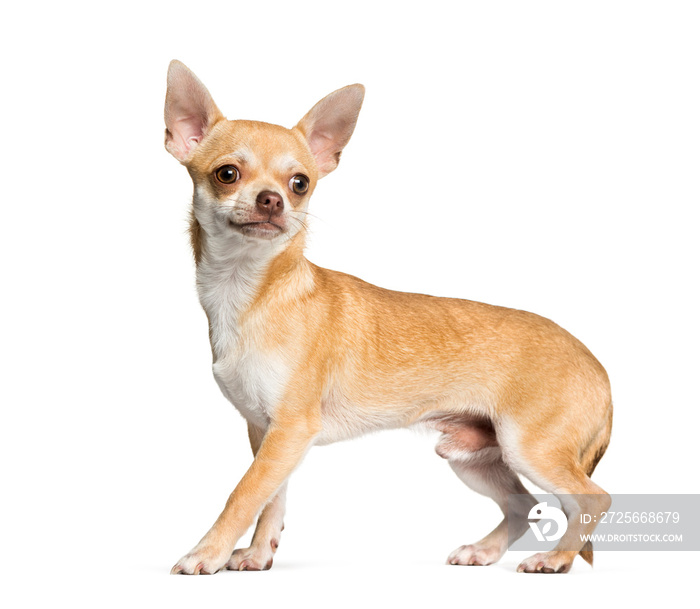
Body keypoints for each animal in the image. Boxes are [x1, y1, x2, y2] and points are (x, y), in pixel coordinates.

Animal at [165, 59, 612, 572]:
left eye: (300, 184)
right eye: (227, 173)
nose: (271, 200)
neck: (251, 292)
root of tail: (599, 369)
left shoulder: (290, 430)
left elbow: (242, 495)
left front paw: (206, 554)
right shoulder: (270, 435)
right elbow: (271, 499)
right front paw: (259, 555)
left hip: (528, 448)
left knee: (592, 497)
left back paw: (557, 558)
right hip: (474, 457)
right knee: (522, 506)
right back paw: (486, 550)